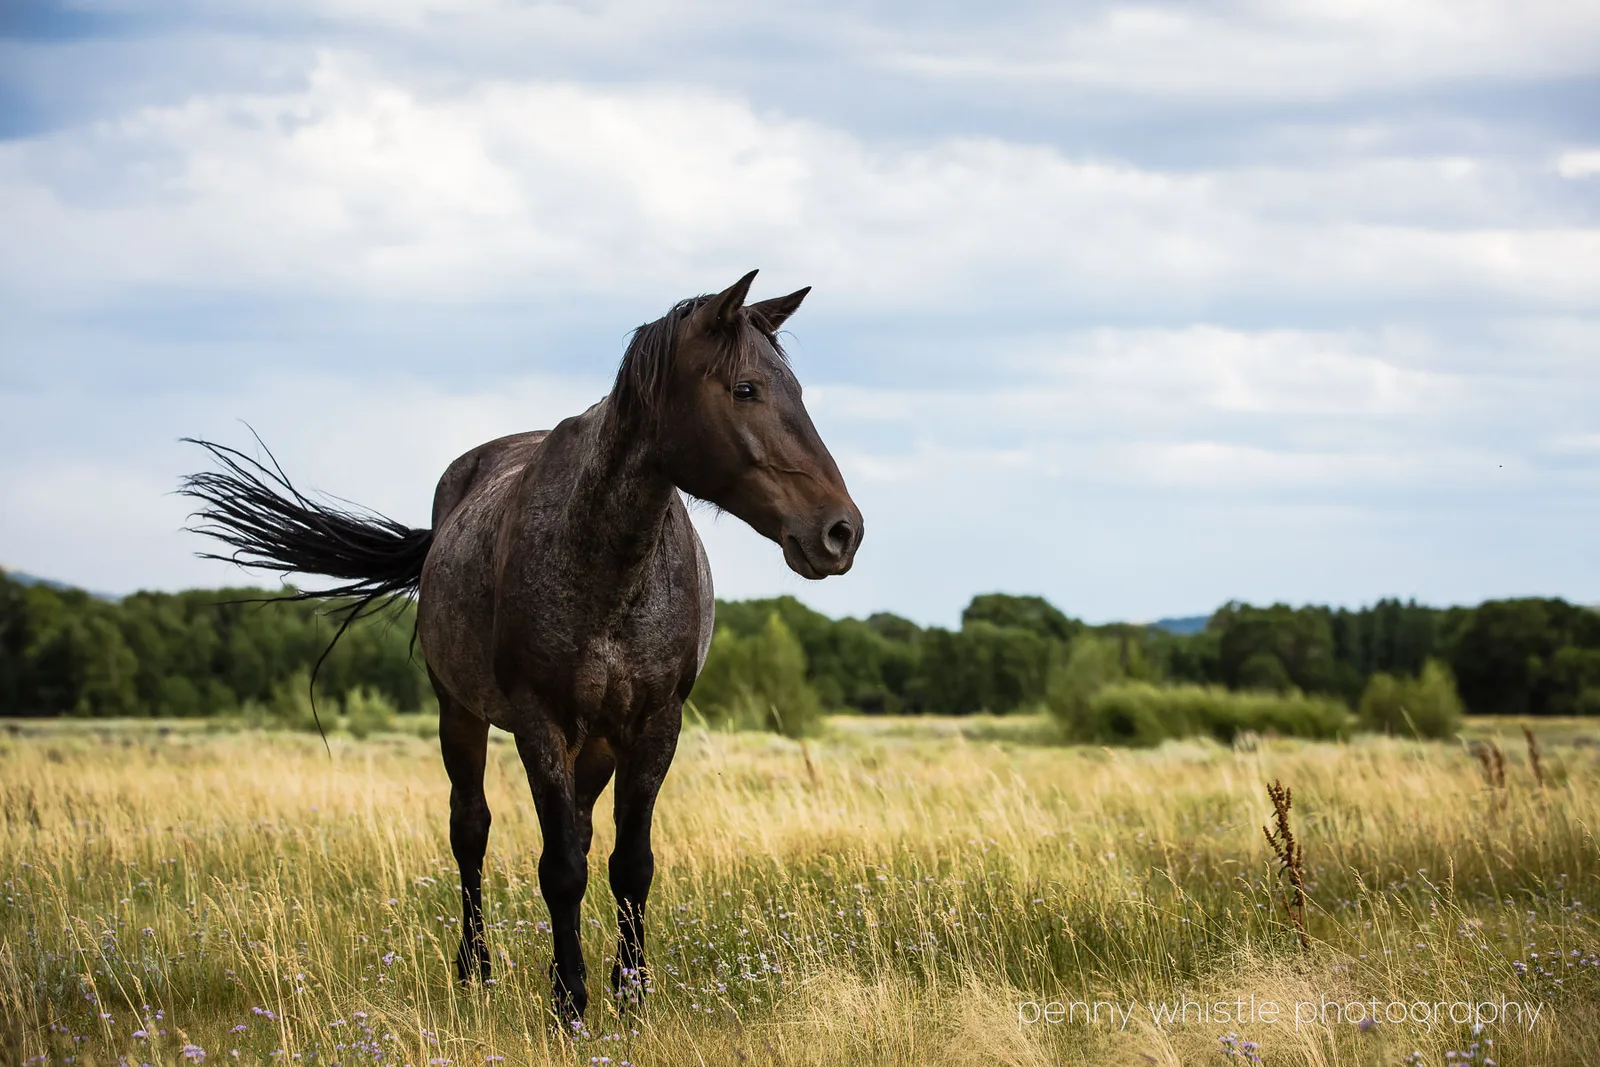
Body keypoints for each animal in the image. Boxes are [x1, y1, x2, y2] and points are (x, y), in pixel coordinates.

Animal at [178, 270, 862, 1020]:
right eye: (745, 389)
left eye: (798, 391)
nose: (841, 531)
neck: (609, 563)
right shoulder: (538, 721)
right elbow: (559, 868)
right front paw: (570, 1001)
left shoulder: (656, 723)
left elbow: (630, 864)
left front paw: (631, 995)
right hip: (460, 713)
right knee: (470, 829)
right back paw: (474, 967)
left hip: (595, 742)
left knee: (580, 833)